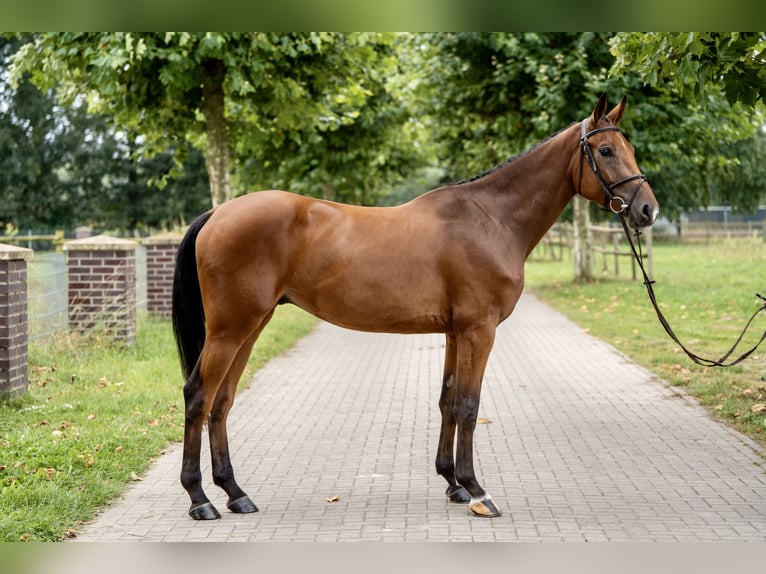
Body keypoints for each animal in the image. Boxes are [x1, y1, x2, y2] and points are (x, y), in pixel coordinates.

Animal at [172, 93, 660, 520]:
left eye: (630, 149)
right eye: (605, 150)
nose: (647, 210)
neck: (491, 218)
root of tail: (217, 213)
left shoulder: (455, 332)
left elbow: (447, 401)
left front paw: (454, 484)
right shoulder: (479, 330)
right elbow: (469, 406)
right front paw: (478, 491)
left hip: (251, 326)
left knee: (222, 401)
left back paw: (235, 493)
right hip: (231, 329)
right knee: (199, 396)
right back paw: (200, 500)